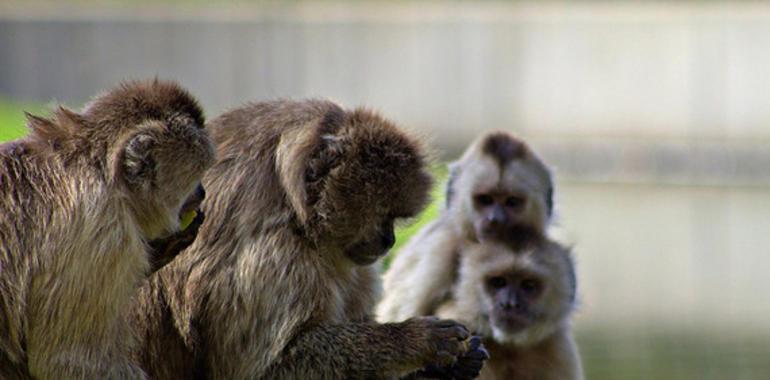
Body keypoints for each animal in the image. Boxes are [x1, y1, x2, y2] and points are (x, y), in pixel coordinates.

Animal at [128, 99, 484, 378]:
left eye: (393, 218)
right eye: (383, 214)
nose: (389, 240)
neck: (298, 217)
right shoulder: (271, 252)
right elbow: (261, 371)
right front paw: (413, 341)